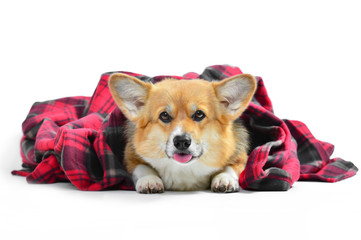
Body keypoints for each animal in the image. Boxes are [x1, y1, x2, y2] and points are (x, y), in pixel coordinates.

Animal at [107, 73, 256, 193]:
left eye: (199, 114)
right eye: (164, 115)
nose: (182, 142)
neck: (184, 169)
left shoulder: (240, 156)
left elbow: (231, 167)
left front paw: (224, 178)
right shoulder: (130, 157)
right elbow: (141, 167)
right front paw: (149, 180)